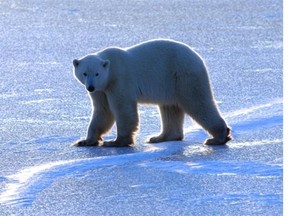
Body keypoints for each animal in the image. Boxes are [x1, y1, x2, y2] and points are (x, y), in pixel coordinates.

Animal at [72, 38, 232, 147]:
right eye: (84, 73)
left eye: (97, 73)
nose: (90, 87)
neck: (110, 70)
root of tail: (199, 58)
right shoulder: (102, 90)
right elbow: (103, 111)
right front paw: (85, 141)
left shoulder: (119, 81)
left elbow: (123, 109)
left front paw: (116, 141)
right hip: (169, 85)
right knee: (170, 108)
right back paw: (160, 137)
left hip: (183, 76)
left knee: (198, 103)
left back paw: (218, 137)